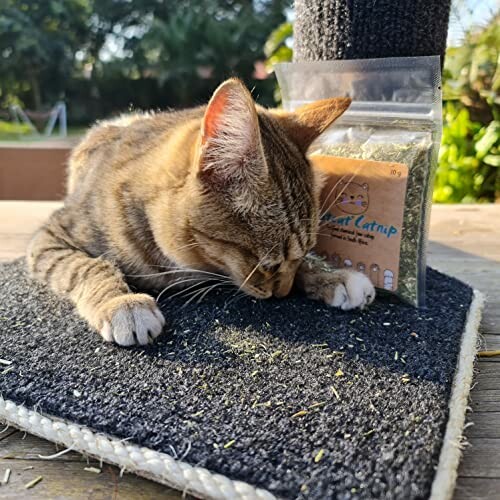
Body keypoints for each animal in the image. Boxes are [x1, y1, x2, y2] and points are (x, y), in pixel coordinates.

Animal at [25, 80, 374, 346]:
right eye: (267, 264)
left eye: (303, 253)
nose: (283, 294)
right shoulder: (51, 236)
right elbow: (87, 266)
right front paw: (120, 302)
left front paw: (331, 274)